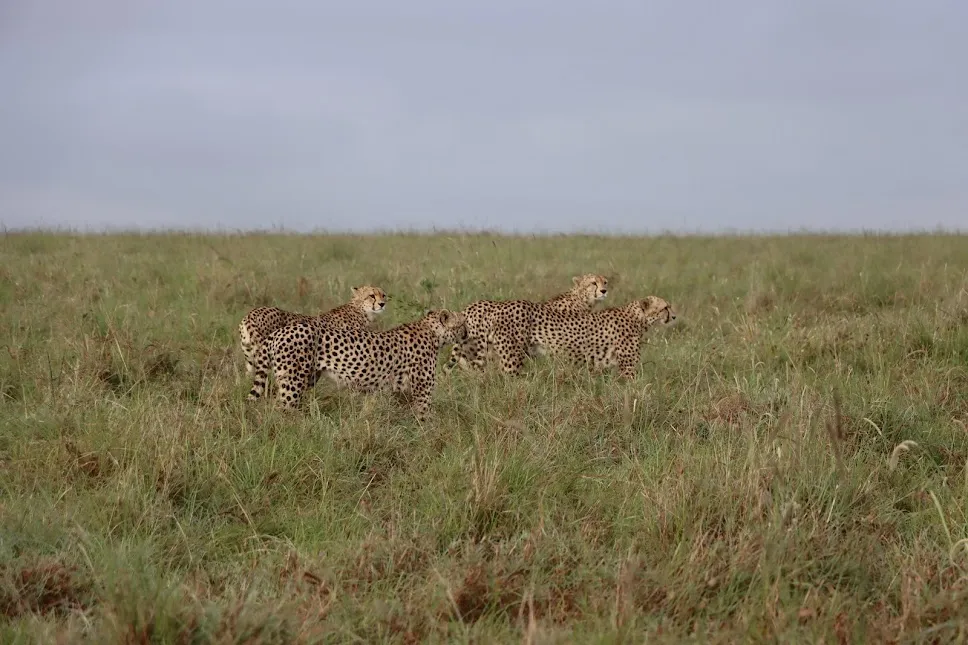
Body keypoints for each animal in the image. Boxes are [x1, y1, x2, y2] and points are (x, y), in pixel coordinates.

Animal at [238, 284, 386, 374]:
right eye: (372, 295)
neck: (361, 310)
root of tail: (251, 313)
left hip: (250, 357)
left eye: (383, 295)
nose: (382, 304)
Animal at [250, 310, 468, 420]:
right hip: (292, 382)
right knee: (283, 410)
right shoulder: (422, 392)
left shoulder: (401, 392)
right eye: (462, 323)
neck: (434, 333)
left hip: (305, 378)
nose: (466, 333)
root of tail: (280, 331)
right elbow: (425, 417)